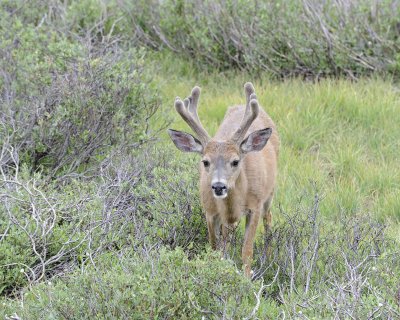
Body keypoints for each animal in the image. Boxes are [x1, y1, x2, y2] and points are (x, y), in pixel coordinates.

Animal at [166, 82, 278, 278]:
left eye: (235, 161)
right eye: (205, 161)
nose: (219, 186)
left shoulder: (255, 206)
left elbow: (247, 251)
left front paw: (246, 280)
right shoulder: (209, 211)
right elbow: (215, 249)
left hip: (269, 194)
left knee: (268, 218)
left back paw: (269, 254)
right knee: (228, 235)